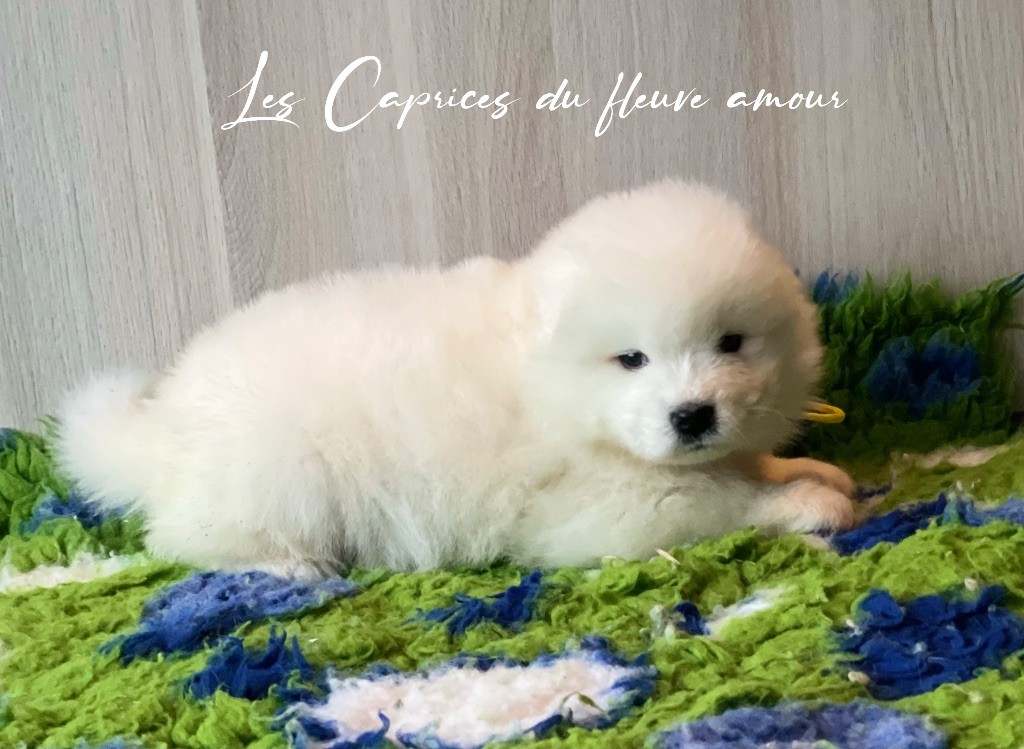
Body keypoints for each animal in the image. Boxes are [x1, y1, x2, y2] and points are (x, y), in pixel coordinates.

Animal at [57, 180, 855, 580]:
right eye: (631, 359)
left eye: (731, 343)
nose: (692, 415)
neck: (549, 384)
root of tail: (163, 425)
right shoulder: (607, 509)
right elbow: (721, 500)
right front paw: (806, 502)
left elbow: (744, 464)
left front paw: (810, 468)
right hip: (276, 474)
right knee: (192, 538)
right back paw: (290, 567)